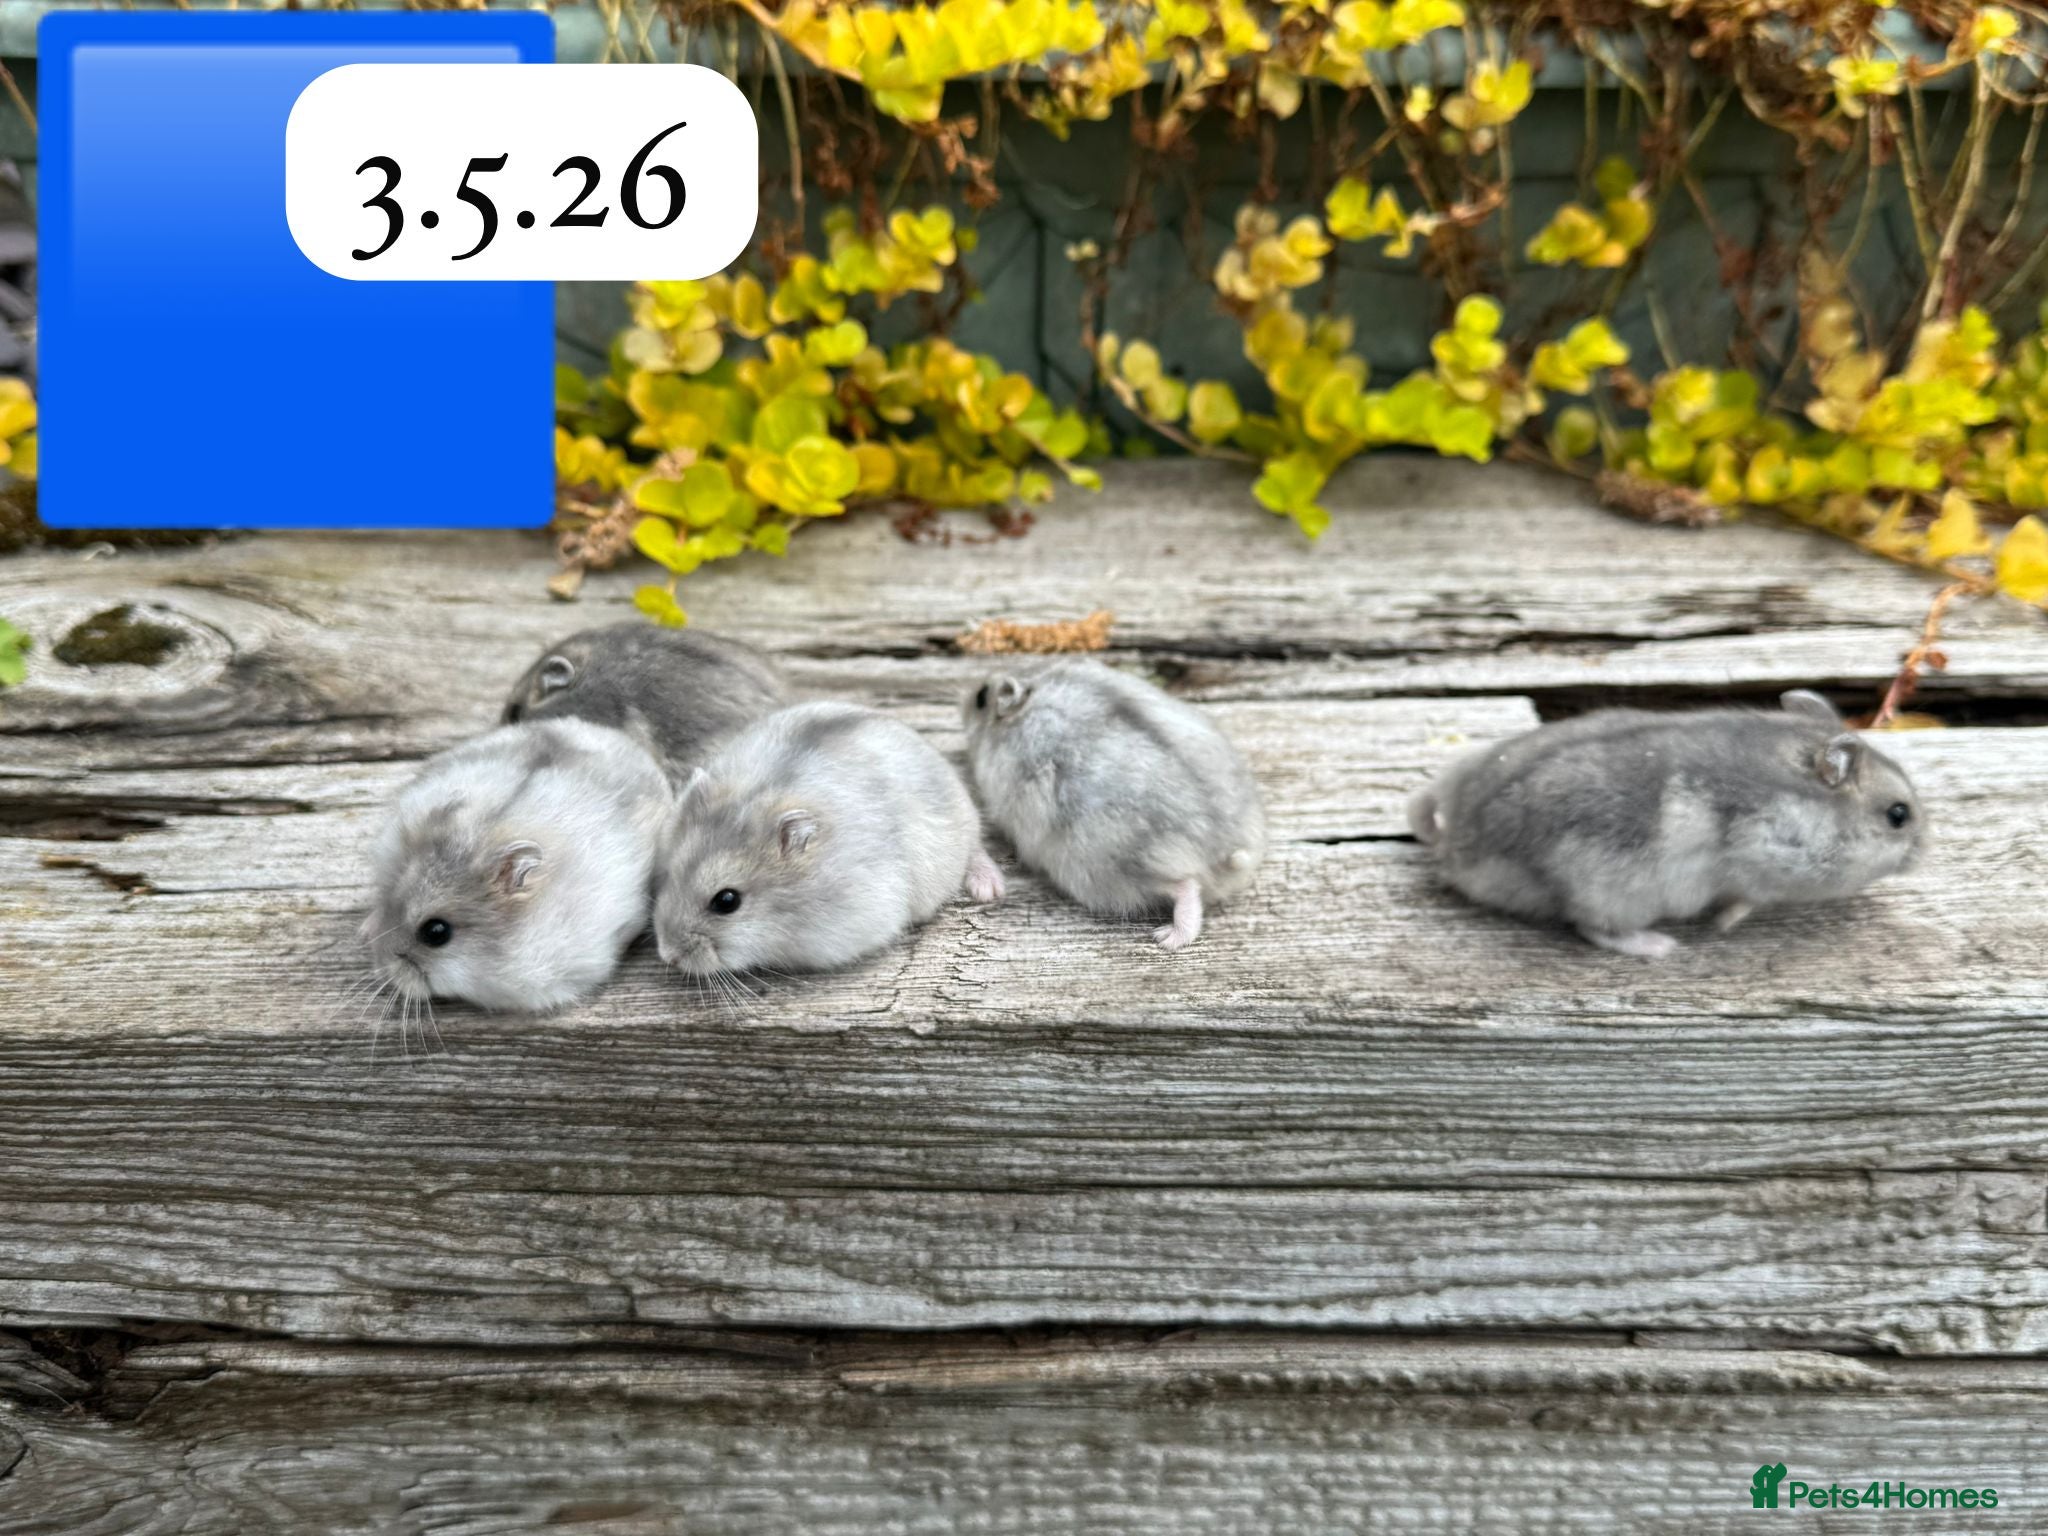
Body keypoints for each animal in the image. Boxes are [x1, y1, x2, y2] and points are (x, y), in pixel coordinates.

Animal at [961, 658, 1266, 951]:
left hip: (1119, 867)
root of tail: (1226, 847)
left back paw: (1167, 938)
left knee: (1185, 886)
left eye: (980, 697)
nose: (963, 701)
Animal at [1408, 689, 1928, 958]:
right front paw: (1725, 925)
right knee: (1595, 930)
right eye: (1898, 815)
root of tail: (1457, 847)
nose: (1924, 852)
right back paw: (1662, 946)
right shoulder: (1760, 866)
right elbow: (1744, 901)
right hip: (1612, 894)